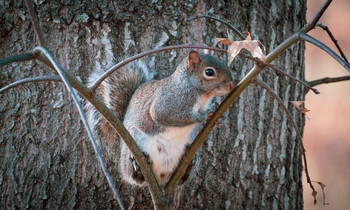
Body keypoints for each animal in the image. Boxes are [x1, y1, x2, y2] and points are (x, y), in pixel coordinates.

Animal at [87, 50, 235, 185]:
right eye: (209, 72)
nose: (232, 85)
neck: (201, 96)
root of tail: (159, 178)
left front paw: (215, 118)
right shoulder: (169, 102)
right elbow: (164, 115)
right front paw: (203, 116)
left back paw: (187, 167)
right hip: (135, 142)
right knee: (134, 176)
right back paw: (138, 170)